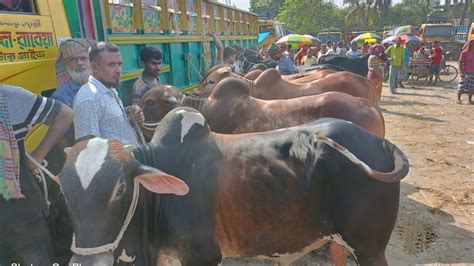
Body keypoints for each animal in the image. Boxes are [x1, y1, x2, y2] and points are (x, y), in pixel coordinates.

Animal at [57, 107, 410, 264]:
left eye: (120, 189)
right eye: (63, 191)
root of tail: (379, 142)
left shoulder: (203, 256)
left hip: (369, 247)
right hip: (338, 240)